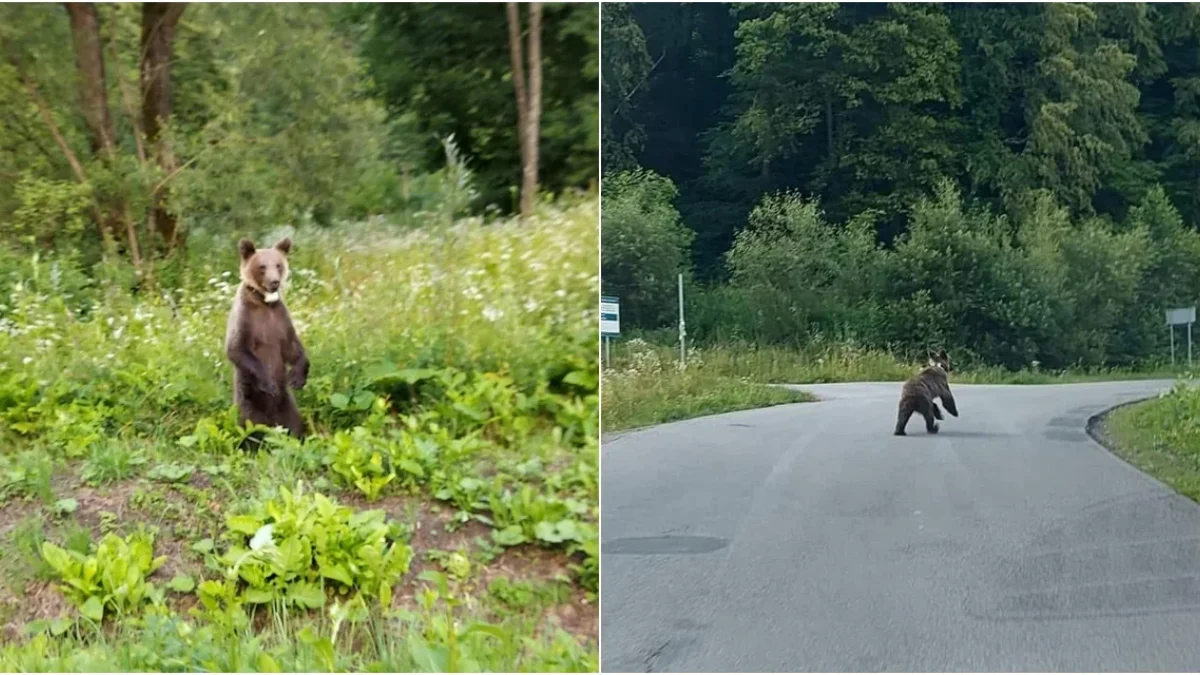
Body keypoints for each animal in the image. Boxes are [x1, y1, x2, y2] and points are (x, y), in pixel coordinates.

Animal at [224, 236, 309, 446]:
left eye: (278, 264)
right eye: (262, 266)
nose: (274, 282)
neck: (264, 304)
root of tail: (271, 422)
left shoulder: (279, 319)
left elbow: (292, 347)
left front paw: (297, 377)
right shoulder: (246, 318)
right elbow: (237, 348)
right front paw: (268, 384)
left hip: (287, 404)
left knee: (294, 424)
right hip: (247, 399)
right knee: (249, 429)